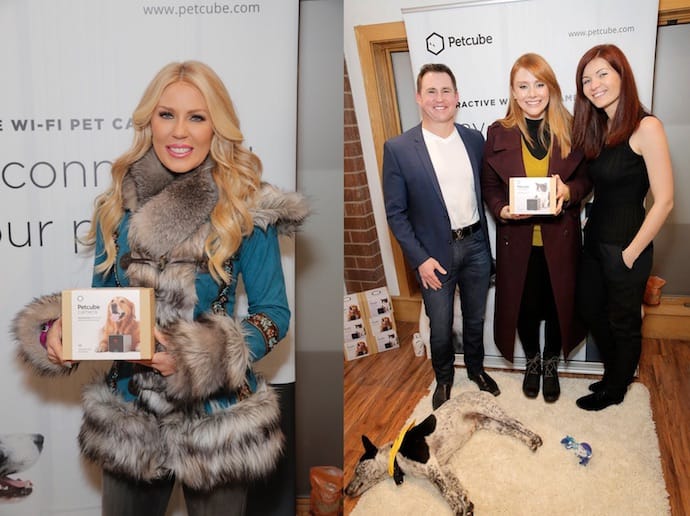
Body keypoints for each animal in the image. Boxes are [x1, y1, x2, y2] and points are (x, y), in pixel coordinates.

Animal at [346, 392, 540, 516]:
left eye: (357, 470)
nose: (345, 491)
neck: (396, 456)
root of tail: (481, 391)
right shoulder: (444, 467)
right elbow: (457, 487)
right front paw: (466, 503)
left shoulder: (431, 465)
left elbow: (444, 491)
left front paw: (456, 508)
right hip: (492, 424)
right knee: (513, 431)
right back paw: (530, 442)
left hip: (492, 412)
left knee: (517, 423)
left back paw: (536, 438)